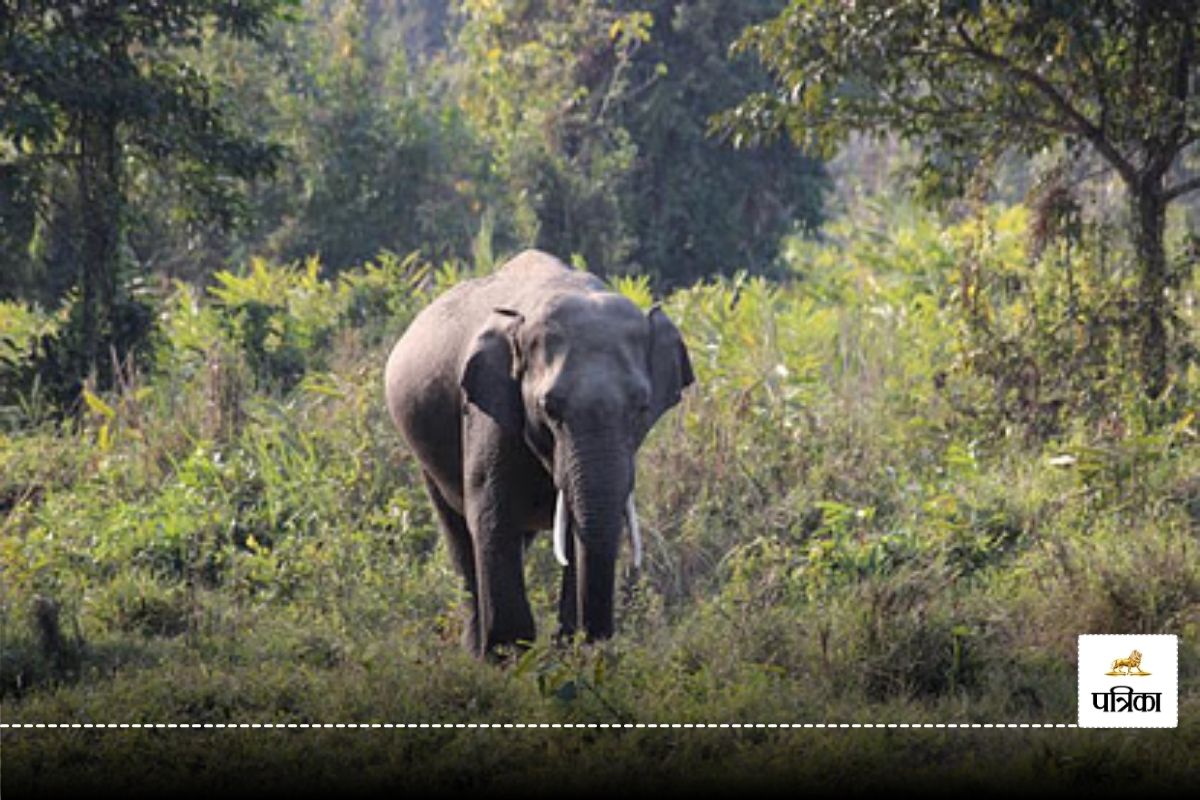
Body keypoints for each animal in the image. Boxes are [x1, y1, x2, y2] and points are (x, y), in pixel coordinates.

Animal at [384, 248, 696, 657]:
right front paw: (509, 658)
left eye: (641, 407)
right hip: (425, 456)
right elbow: (492, 516)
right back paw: (475, 649)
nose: (597, 642)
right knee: (460, 534)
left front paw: (571, 653)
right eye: (549, 407)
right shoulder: (488, 410)